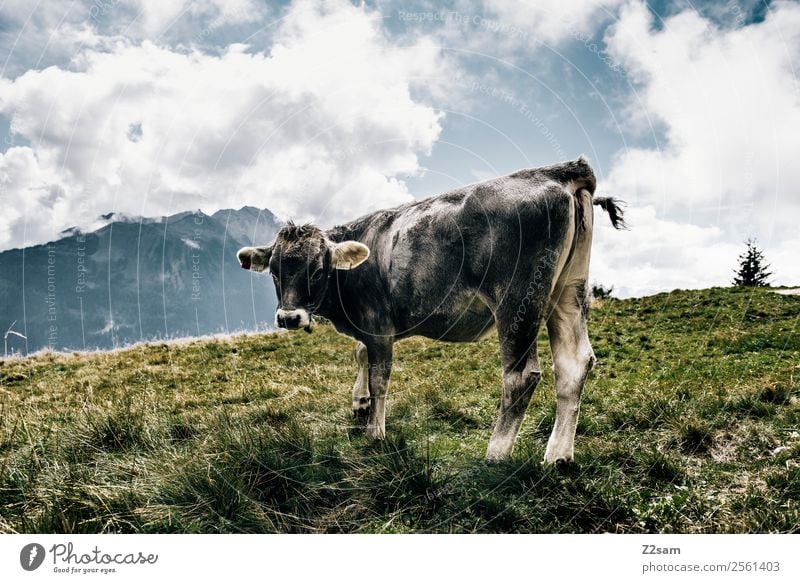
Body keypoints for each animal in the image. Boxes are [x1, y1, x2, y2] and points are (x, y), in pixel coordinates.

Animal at [238, 157, 624, 468]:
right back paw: (558, 456)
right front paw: (360, 403)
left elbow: (380, 376)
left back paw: (496, 454)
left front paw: (375, 432)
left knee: (521, 375)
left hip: (518, 301)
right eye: (275, 272)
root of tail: (557, 170)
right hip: (569, 291)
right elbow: (360, 355)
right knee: (574, 364)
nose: (289, 318)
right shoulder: (368, 328)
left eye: (318, 270)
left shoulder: (378, 324)